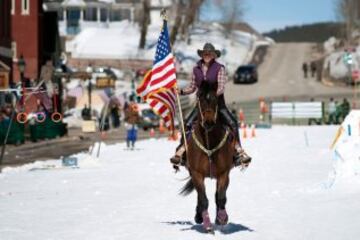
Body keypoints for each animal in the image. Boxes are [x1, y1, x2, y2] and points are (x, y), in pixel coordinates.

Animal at [180, 82, 236, 232]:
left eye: (216, 100)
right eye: (200, 99)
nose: (209, 122)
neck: (209, 143)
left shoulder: (224, 173)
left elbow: (221, 197)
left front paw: (222, 218)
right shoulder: (196, 174)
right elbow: (203, 198)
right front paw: (206, 223)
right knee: (200, 197)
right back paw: (199, 216)